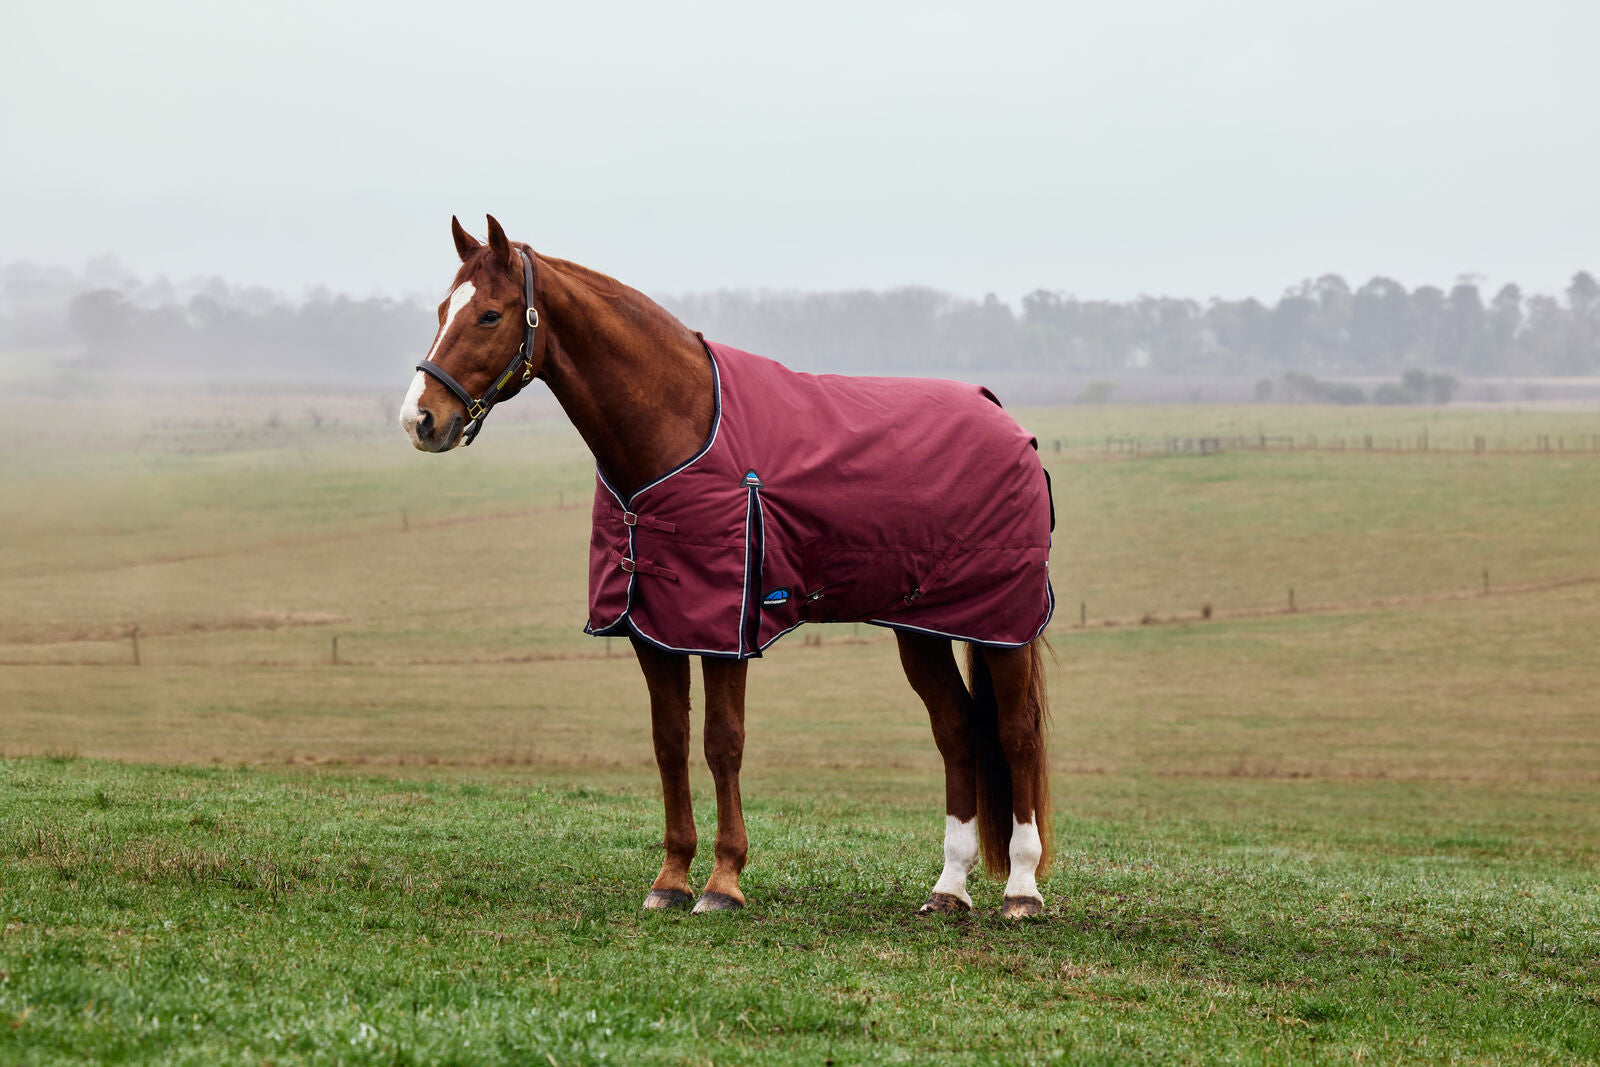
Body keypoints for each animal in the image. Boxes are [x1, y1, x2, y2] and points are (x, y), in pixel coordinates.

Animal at [399, 215, 1055, 918]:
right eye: (441, 310)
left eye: (490, 315)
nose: (419, 419)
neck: (677, 427)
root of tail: (1004, 419)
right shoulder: (653, 630)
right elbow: (670, 742)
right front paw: (671, 878)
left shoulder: (725, 631)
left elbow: (723, 742)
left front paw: (723, 882)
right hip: (922, 628)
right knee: (957, 730)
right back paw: (949, 888)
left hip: (1003, 627)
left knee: (1016, 733)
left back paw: (1022, 889)